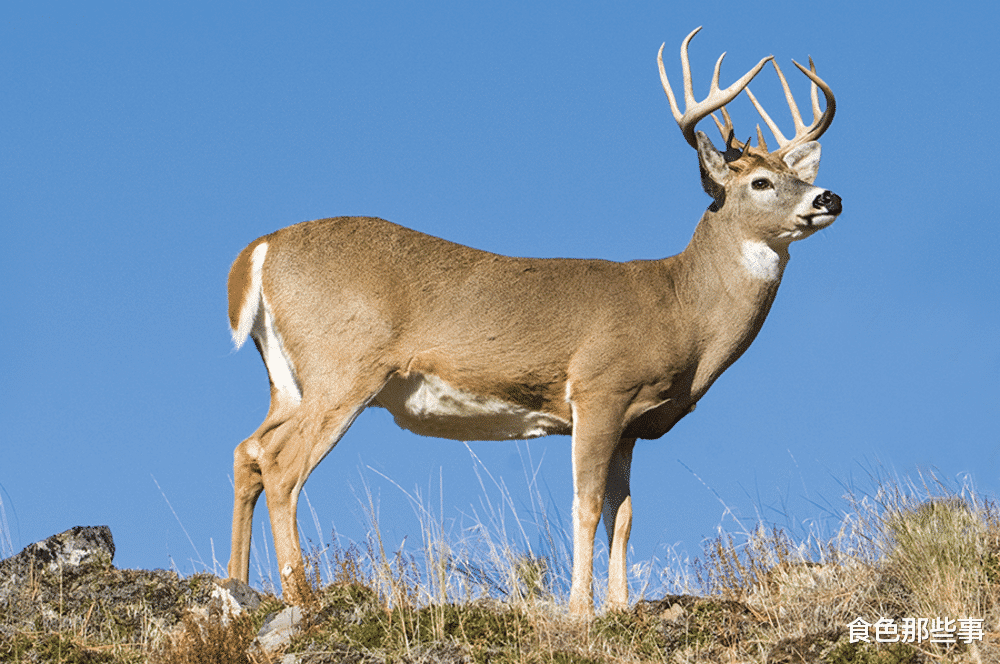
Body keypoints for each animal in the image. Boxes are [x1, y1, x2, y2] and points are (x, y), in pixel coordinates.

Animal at [225, 28, 836, 616]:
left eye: (794, 172)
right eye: (759, 182)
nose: (829, 196)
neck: (678, 307)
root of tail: (258, 252)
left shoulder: (631, 425)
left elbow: (623, 516)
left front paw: (618, 606)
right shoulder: (599, 389)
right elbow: (585, 506)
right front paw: (580, 609)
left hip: (288, 380)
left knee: (248, 450)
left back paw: (239, 585)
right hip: (344, 366)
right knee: (281, 465)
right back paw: (302, 597)